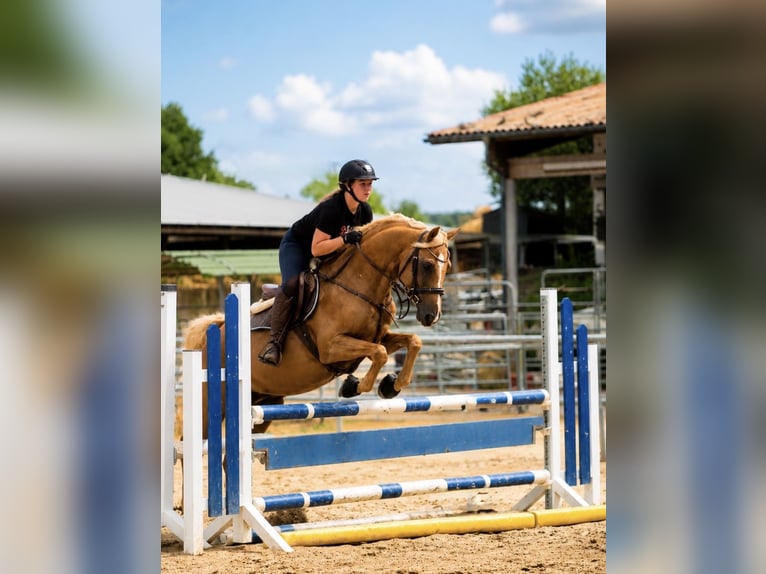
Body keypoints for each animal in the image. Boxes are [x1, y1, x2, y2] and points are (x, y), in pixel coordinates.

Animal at [183, 213, 458, 436]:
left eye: (448, 266)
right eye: (427, 265)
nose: (431, 316)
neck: (358, 285)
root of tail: (216, 330)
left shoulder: (376, 338)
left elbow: (412, 342)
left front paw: (392, 385)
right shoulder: (331, 347)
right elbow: (379, 353)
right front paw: (354, 386)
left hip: (263, 401)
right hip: (212, 404)